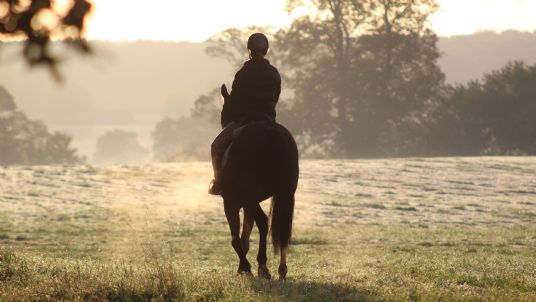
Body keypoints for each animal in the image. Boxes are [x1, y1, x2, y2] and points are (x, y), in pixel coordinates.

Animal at [218, 84, 302, 278]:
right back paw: (281, 269)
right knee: (282, 228)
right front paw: (243, 267)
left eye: (225, 106)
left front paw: (245, 267)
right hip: (285, 193)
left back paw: (263, 266)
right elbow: (245, 235)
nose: (223, 121)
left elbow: (236, 237)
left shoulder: (231, 201)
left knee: (263, 222)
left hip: (248, 196)